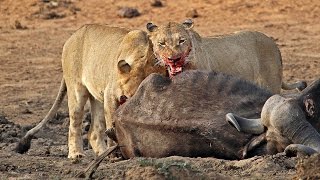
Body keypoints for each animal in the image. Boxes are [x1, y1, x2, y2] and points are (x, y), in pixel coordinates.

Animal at [15, 23, 166, 159]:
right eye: (124, 98)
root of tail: (73, 36)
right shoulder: (111, 95)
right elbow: (112, 126)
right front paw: (115, 154)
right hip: (77, 91)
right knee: (74, 125)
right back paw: (76, 154)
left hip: (98, 98)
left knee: (94, 132)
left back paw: (102, 154)